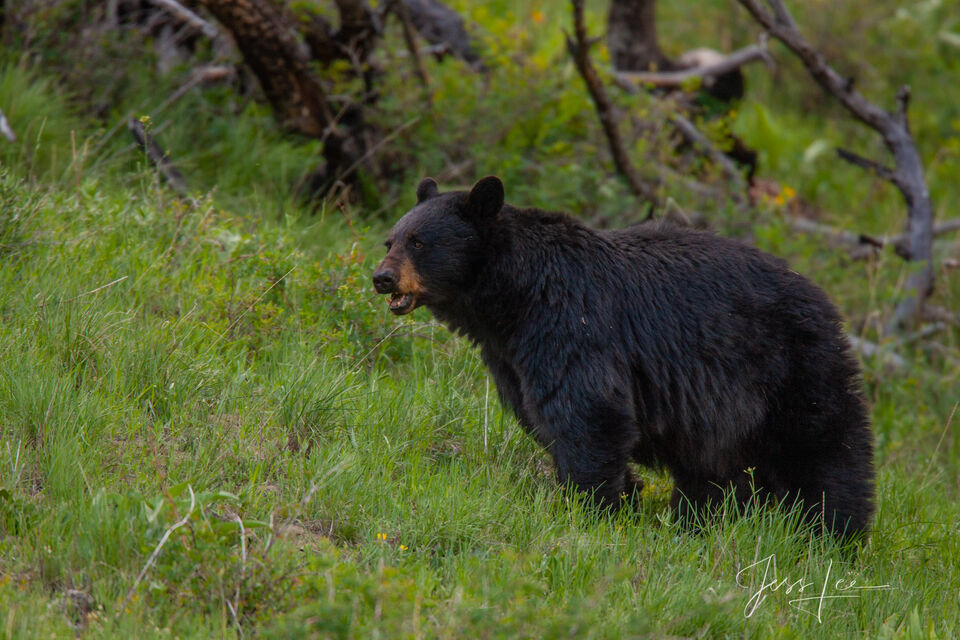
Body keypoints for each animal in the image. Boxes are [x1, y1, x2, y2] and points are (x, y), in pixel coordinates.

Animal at [372, 176, 875, 540]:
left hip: (792, 367)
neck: (513, 298)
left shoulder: (573, 327)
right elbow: (541, 418)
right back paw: (699, 525)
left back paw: (832, 537)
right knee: (714, 470)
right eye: (390, 240)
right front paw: (625, 495)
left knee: (825, 450)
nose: (382, 278)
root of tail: (826, 301)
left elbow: (589, 413)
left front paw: (592, 509)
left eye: (419, 242)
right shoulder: (511, 357)